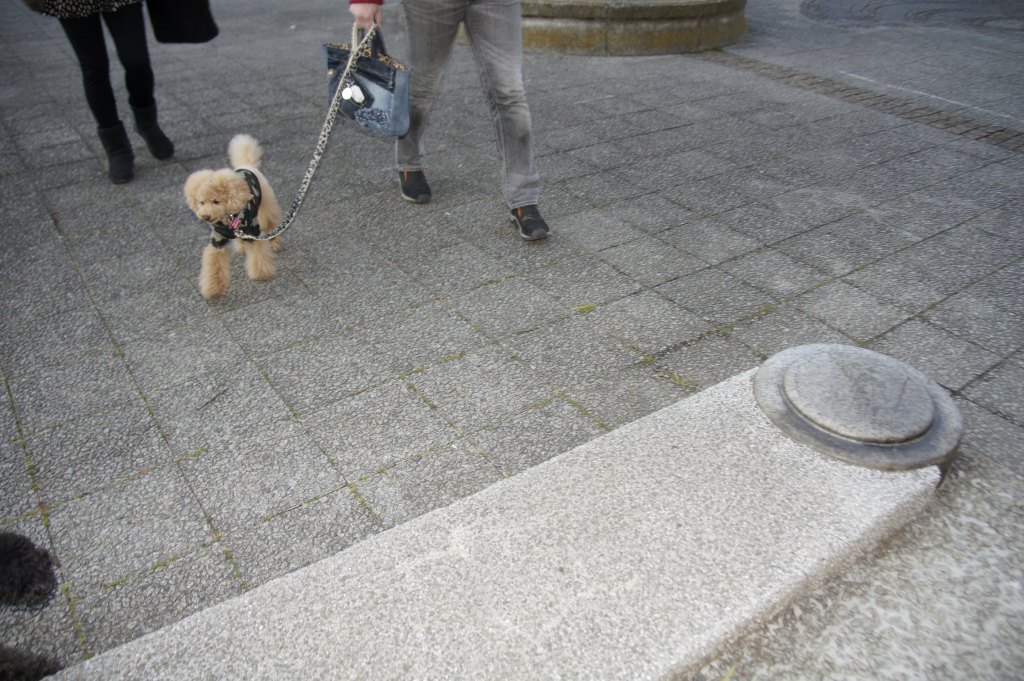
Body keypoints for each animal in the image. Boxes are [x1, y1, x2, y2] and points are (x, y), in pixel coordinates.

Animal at [184, 134, 282, 300]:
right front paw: (214, 288)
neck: (227, 219)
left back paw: (275, 243)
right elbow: (214, 264)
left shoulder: (252, 231)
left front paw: (261, 273)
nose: (205, 216)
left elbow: (258, 254)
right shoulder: (217, 241)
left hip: (266, 205)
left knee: (270, 225)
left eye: (216, 201)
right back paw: (242, 247)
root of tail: (247, 165)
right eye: (201, 202)